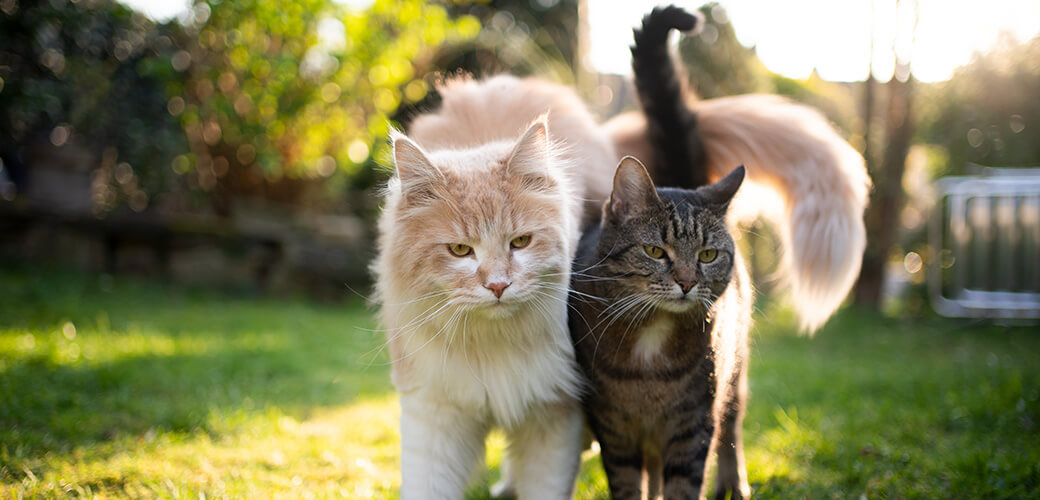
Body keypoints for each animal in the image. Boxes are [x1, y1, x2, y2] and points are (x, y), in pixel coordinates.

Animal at [376, 74, 611, 498]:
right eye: (459, 250)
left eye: (520, 242)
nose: (498, 285)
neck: (491, 345)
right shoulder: (434, 413)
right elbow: (427, 485)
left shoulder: (553, 412)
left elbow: (545, 487)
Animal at [574, 156, 752, 498]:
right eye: (655, 251)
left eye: (708, 255)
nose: (687, 282)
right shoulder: (613, 426)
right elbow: (627, 483)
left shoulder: (693, 421)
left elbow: (683, 484)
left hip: (734, 373)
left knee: (732, 424)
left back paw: (733, 484)